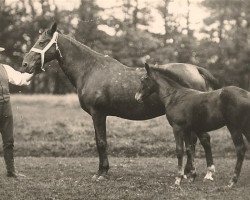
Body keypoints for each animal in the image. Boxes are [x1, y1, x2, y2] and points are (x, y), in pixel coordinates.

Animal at [22, 22, 220, 180]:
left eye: (41, 42)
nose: (25, 64)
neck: (90, 70)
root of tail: (195, 68)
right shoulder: (96, 115)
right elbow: (98, 140)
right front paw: (102, 170)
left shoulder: (98, 113)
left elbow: (102, 142)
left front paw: (102, 173)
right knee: (194, 142)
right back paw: (190, 172)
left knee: (201, 140)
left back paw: (200, 173)